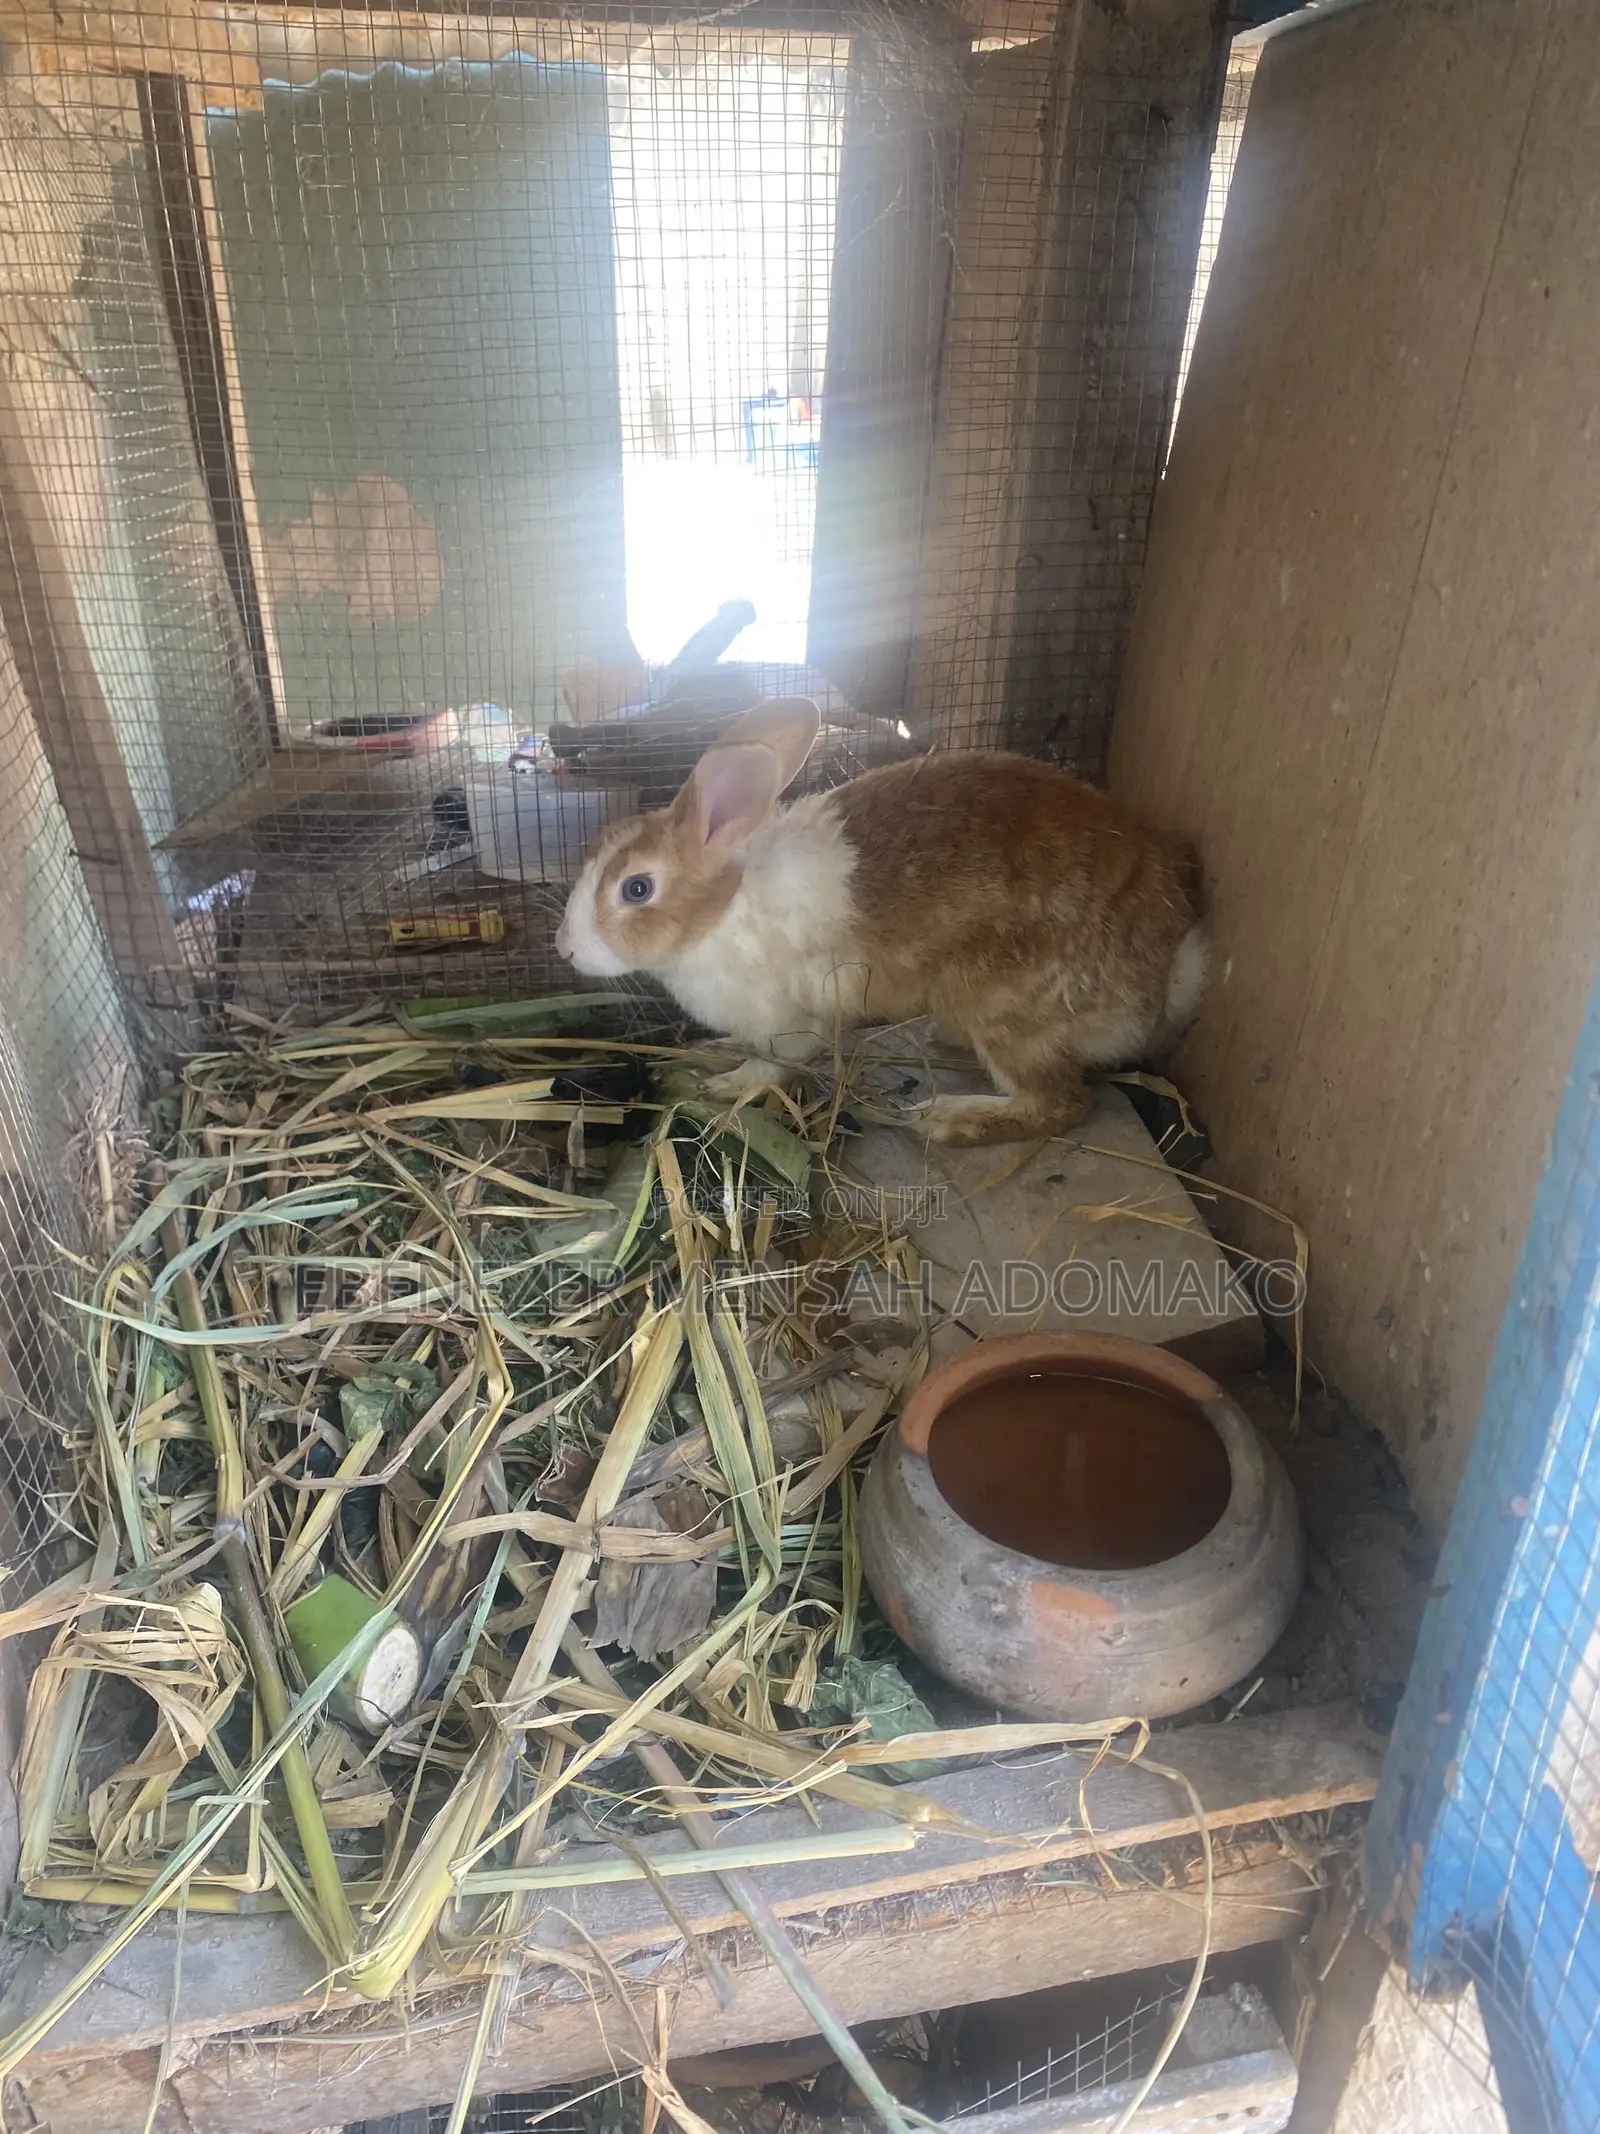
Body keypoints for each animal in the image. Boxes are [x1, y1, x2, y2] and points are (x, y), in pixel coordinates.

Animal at [554, 698, 1207, 1146]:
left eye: (637, 888)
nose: (564, 949)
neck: (722, 911)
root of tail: (1166, 979)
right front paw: (716, 1052)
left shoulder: (792, 1025)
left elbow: (775, 1062)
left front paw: (730, 1084)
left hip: (1007, 1006)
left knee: (1062, 1104)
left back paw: (948, 1119)